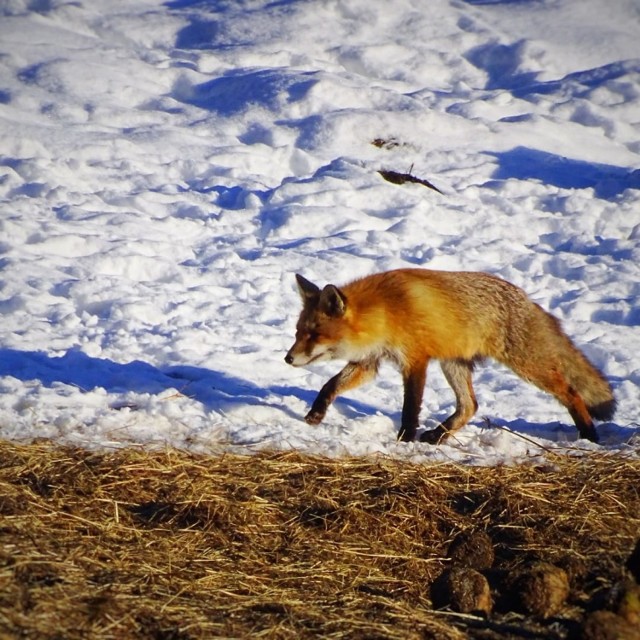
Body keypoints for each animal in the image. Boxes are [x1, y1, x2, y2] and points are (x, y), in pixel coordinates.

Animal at [284, 268, 616, 442]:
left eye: (313, 335)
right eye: (298, 332)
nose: (288, 359)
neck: (385, 313)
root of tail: (526, 299)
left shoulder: (415, 360)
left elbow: (410, 407)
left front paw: (405, 438)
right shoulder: (369, 362)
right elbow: (330, 385)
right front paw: (316, 413)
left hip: (527, 366)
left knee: (570, 392)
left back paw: (589, 435)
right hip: (453, 364)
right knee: (470, 406)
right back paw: (438, 434)